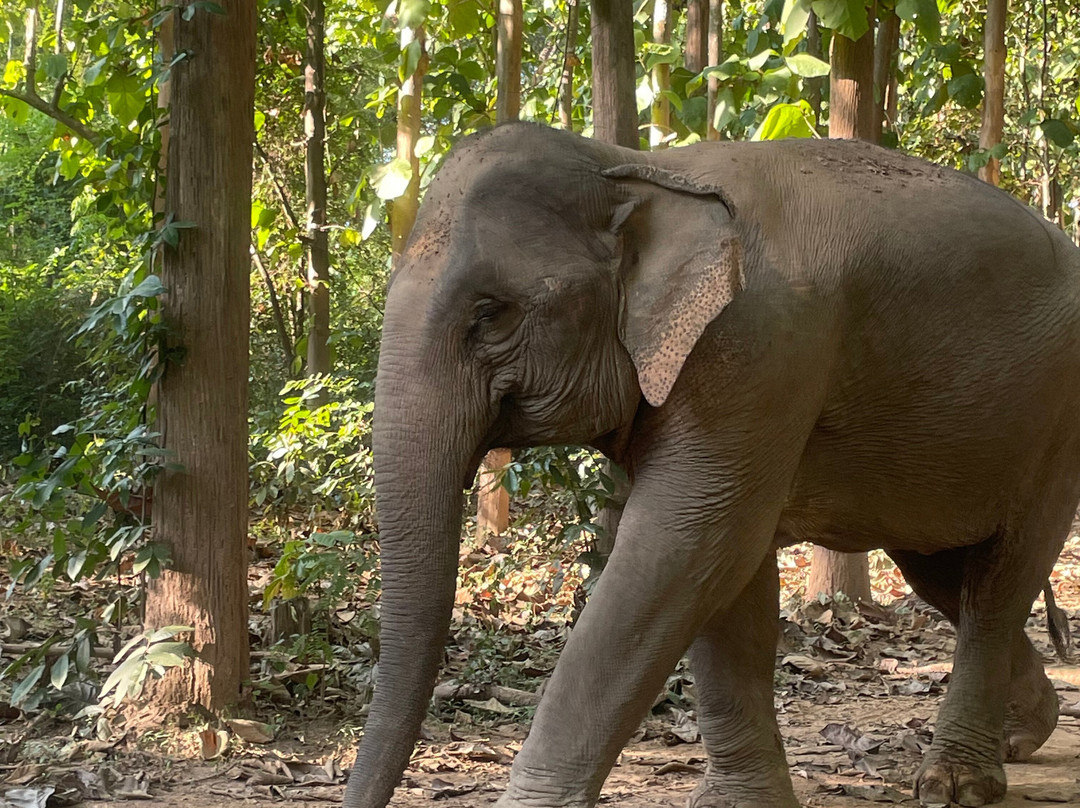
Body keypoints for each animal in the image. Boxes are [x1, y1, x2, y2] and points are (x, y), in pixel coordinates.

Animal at [344, 122, 1079, 808]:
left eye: (490, 312)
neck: (636, 169)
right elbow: (725, 575)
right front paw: (744, 802)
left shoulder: (757, 346)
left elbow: (687, 544)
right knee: (941, 572)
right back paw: (1026, 731)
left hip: (1057, 422)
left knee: (1003, 576)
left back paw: (958, 782)